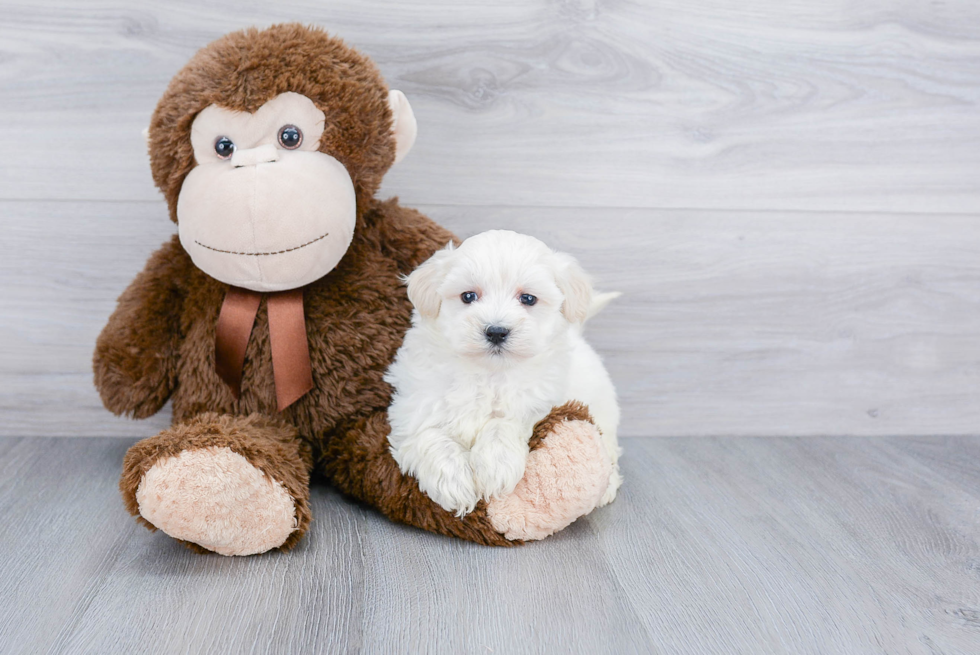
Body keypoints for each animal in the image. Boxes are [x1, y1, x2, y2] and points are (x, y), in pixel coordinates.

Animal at [382, 231, 620, 516]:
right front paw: (455, 483)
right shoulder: (415, 407)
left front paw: (495, 467)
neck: (488, 372)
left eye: (527, 299)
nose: (496, 331)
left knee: (610, 447)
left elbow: (504, 423)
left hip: (602, 410)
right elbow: (429, 436)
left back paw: (608, 486)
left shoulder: (539, 403)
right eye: (468, 296)